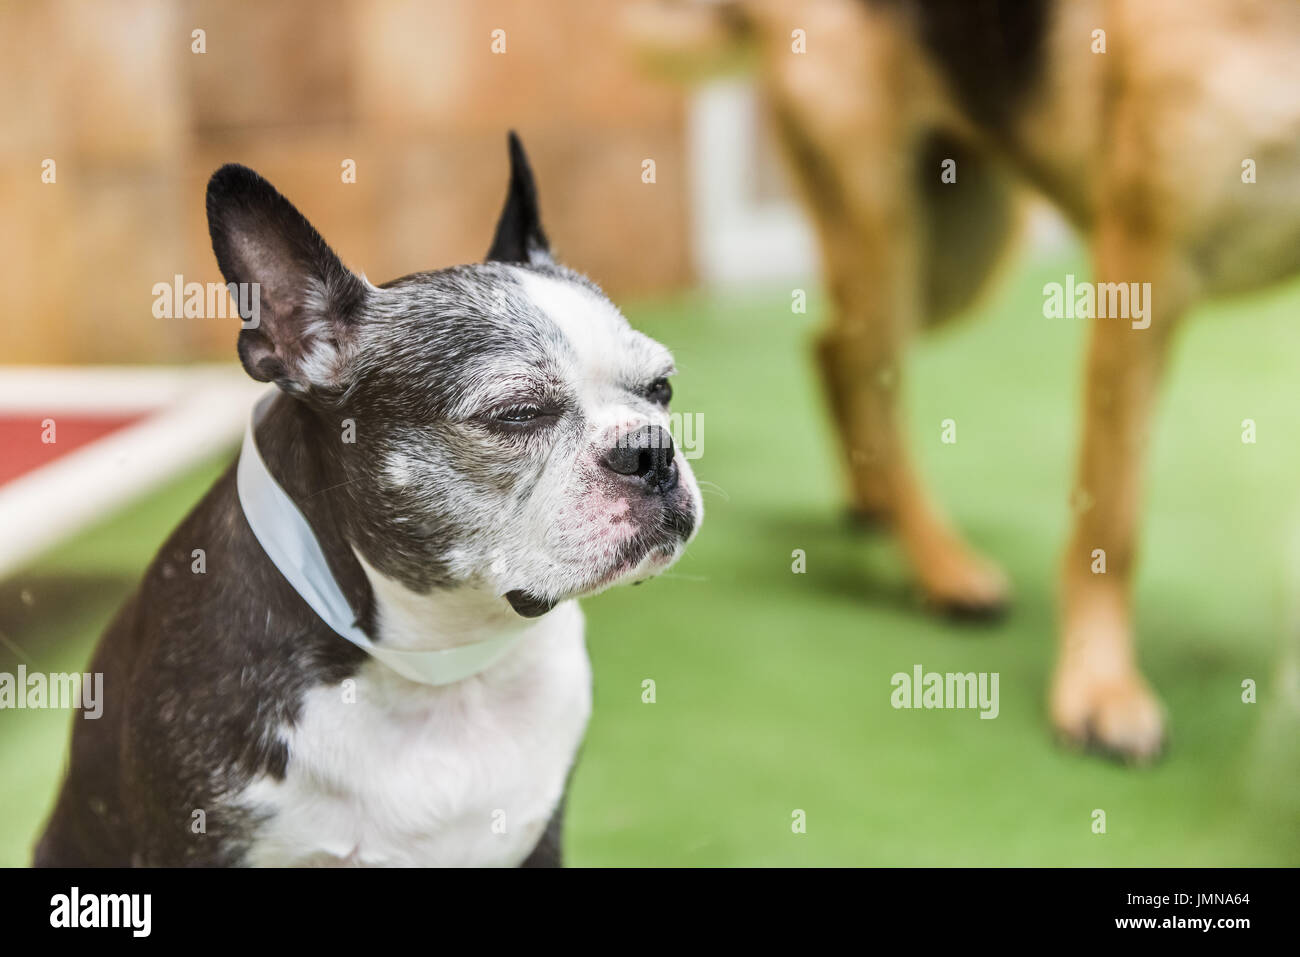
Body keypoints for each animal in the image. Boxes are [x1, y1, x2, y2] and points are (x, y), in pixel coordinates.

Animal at [629, 1, 1300, 764]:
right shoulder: (1144, 275)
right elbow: (1112, 517)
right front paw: (1099, 688)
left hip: (955, 261)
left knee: (831, 350)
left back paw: (877, 504)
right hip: (886, 227)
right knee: (866, 373)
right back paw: (941, 565)